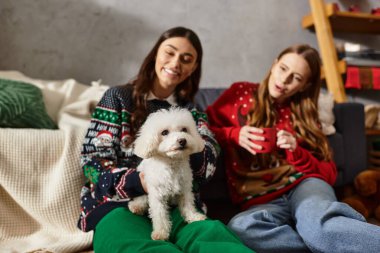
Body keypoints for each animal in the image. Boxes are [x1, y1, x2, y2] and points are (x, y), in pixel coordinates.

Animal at [130, 107, 208, 241]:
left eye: (184, 129)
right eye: (164, 132)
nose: (182, 140)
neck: (172, 163)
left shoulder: (185, 189)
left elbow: (188, 204)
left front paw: (193, 216)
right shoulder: (157, 195)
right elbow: (160, 215)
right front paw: (161, 233)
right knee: (142, 199)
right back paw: (136, 206)